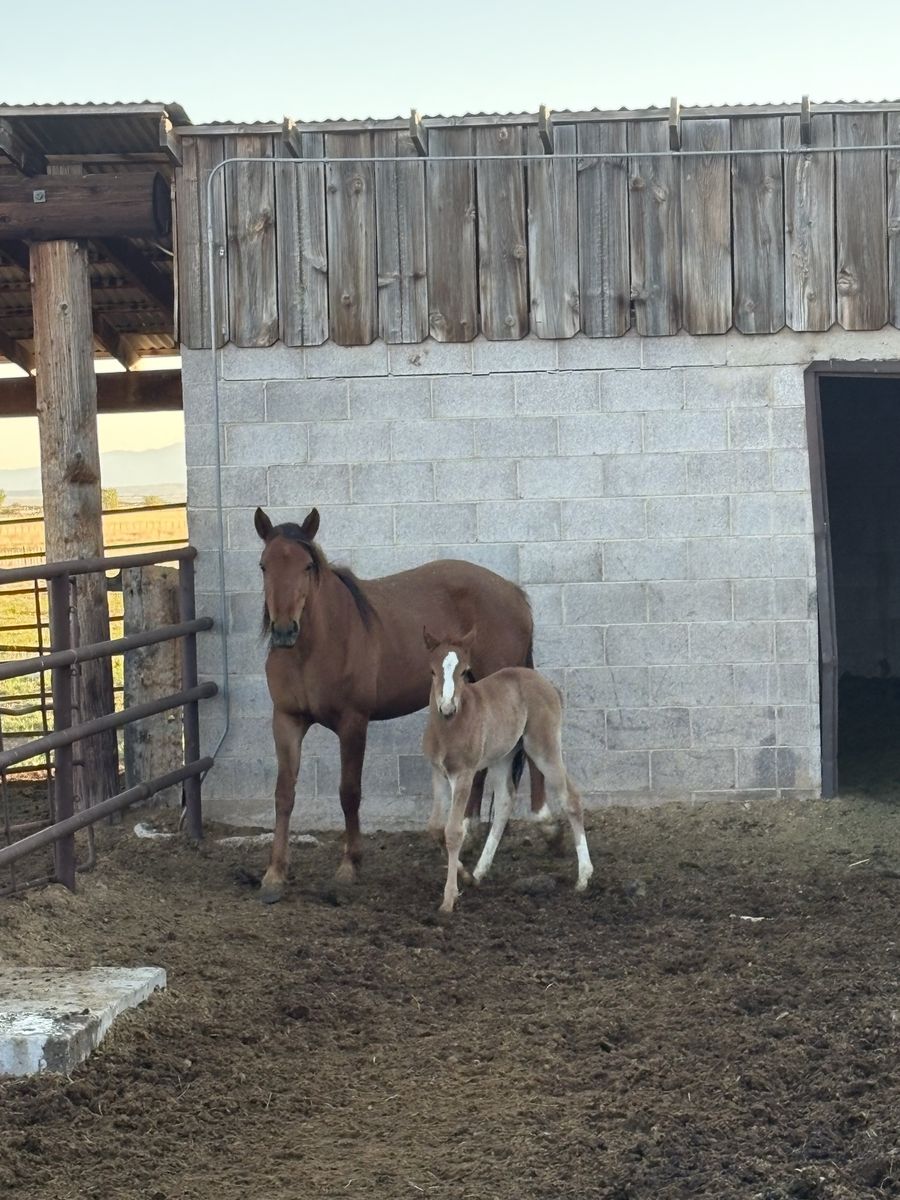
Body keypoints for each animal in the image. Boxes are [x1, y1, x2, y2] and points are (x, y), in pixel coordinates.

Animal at [254, 506, 546, 902]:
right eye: (264, 566)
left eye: (307, 566)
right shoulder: (286, 720)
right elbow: (284, 793)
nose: (285, 630)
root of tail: (514, 594)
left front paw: (349, 866)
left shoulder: (353, 722)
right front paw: (274, 874)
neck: (317, 645)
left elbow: (349, 792)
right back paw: (467, 832)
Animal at [422, 628, 593, 914]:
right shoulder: (437, 773)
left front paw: (448, 899)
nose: (447, 708)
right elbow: (435, 828)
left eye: (465, 671)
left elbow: (454, 831)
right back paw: (479, 871)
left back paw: (583, 877)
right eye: (432, 671)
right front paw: (465, 876)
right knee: (505, 800)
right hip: (503, 756)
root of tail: (548, 685)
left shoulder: (464, 774)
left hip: (542, 747)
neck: (448, 728)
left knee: (570, 797)